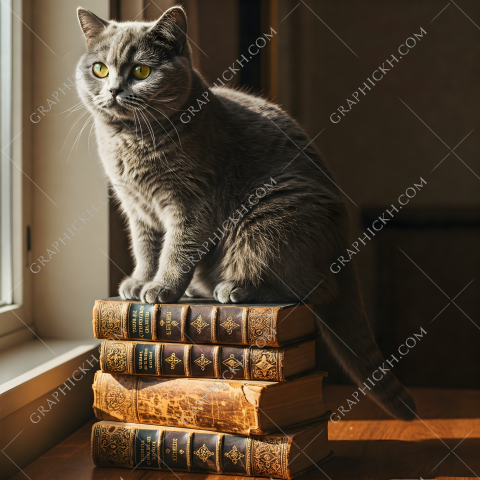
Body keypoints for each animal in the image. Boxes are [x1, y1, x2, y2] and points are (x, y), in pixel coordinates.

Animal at [75, 6, 416, 420]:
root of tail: (342, 248)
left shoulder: (191, 203)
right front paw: (139, 282)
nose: (113, 89)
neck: (129, 140)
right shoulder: (136, 209)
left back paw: (235, 288)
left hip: (270, 214)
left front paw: (162, 288)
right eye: (99, 69)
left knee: (311, 288)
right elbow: (145, 250)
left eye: (141, 71)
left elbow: (176, 250)